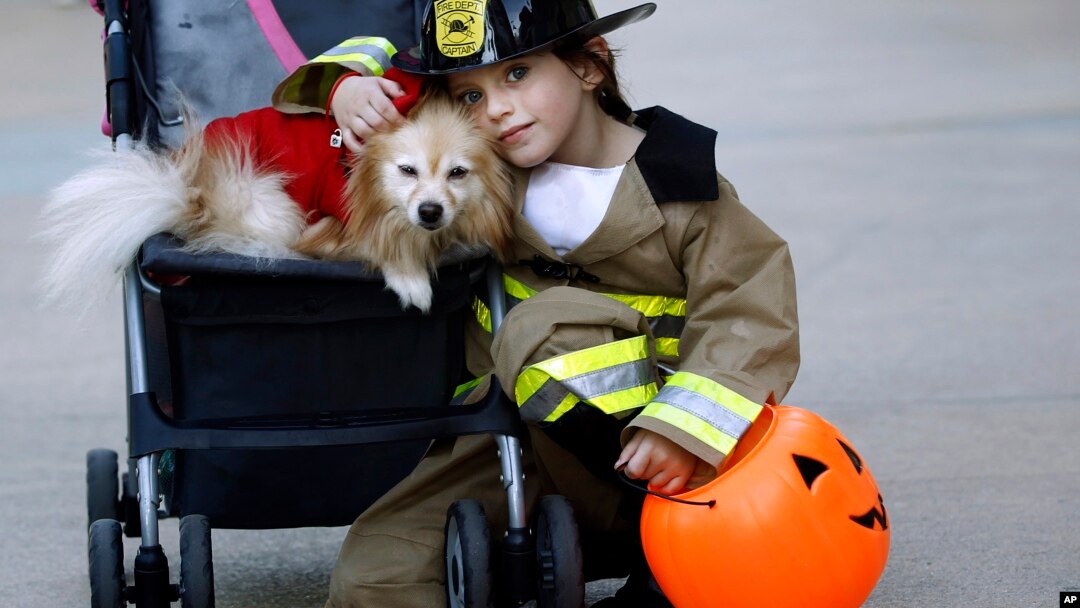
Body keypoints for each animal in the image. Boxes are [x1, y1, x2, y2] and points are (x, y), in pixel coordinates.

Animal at [39, 90, 511, 313]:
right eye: (406, 171)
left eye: (457, 173)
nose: (430, 211)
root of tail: (186, 189)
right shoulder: (329, 225)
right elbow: (381, 243)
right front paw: (410, 275)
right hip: (270, 200)